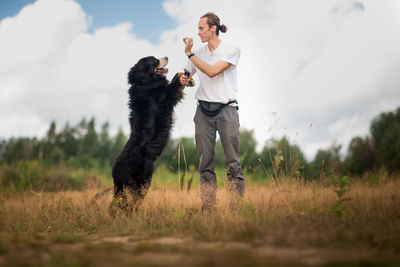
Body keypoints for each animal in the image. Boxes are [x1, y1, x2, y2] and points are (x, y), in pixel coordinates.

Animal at [109, 55, 194, 217]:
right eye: (154, 60)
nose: (166, 56)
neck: (146, 82)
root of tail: (115, 172)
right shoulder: (164, 97)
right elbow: (172, 86)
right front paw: (181, 78)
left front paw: (190, 79)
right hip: (143, 180)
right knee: (132, 202)